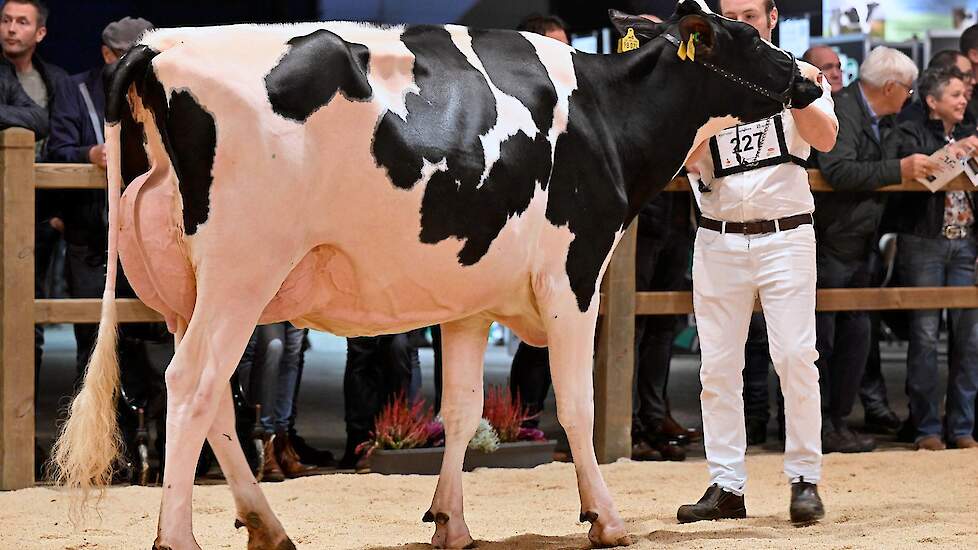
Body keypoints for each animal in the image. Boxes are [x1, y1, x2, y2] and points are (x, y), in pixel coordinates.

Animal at [53, 2, 824, 548]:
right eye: (748, 35)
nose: (809, 79)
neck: (603, 117)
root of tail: (160, 45)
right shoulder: (574, 275)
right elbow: (575, 405)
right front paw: (604, 518)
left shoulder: (468, 298)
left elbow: (460, 410)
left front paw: (451, 522)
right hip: (240, 275)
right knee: (190, 386)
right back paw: (178, 538)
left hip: (185, 293)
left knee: (210, 400)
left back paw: (268, 528)